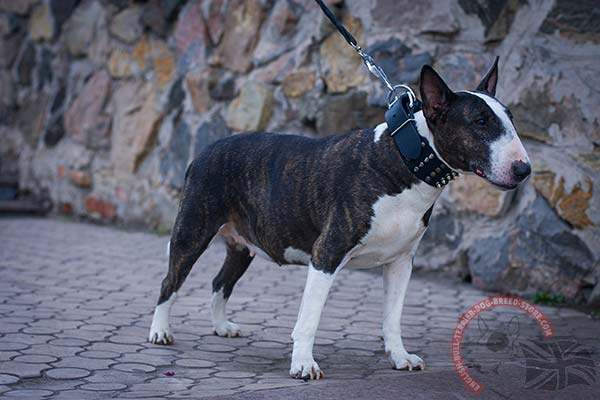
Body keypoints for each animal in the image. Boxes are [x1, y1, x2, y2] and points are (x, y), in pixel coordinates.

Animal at [149, 57, 528, 380]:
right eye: (480, 122)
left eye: (510, 118)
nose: (523, 169)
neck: (405, 159)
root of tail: (206, 149)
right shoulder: (326, 254)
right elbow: (309, 318)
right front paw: (303, 365)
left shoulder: (401, 261)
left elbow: (393, 317)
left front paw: (400, 357)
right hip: (193, 231)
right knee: (170, 282)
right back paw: (160, 331)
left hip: (242, 245)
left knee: (219, 282)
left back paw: (221, 326)